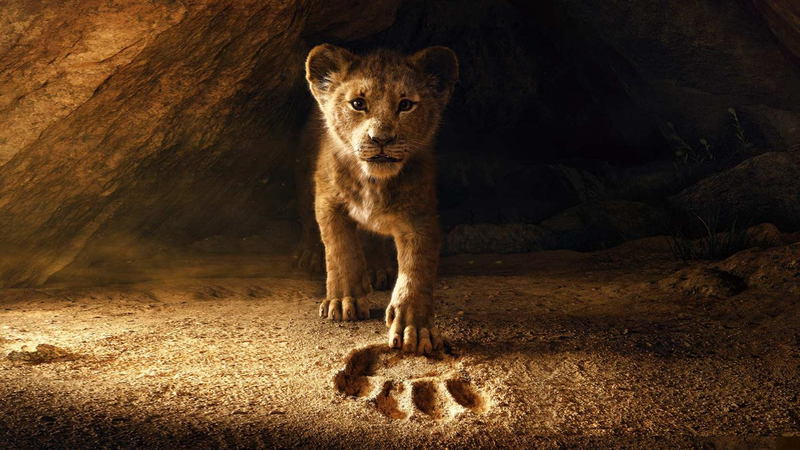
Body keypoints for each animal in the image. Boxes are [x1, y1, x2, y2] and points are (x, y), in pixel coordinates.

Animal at [297, 44, 458, 355]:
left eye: (405, 105)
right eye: (358, 103)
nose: (381, 139)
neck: (373, 181)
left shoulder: (420, 218)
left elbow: (416, 271)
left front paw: (414, 327)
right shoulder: (328, 201)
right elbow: (340, 249)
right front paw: (344, 301)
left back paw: (378, 268)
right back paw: (310, 255)